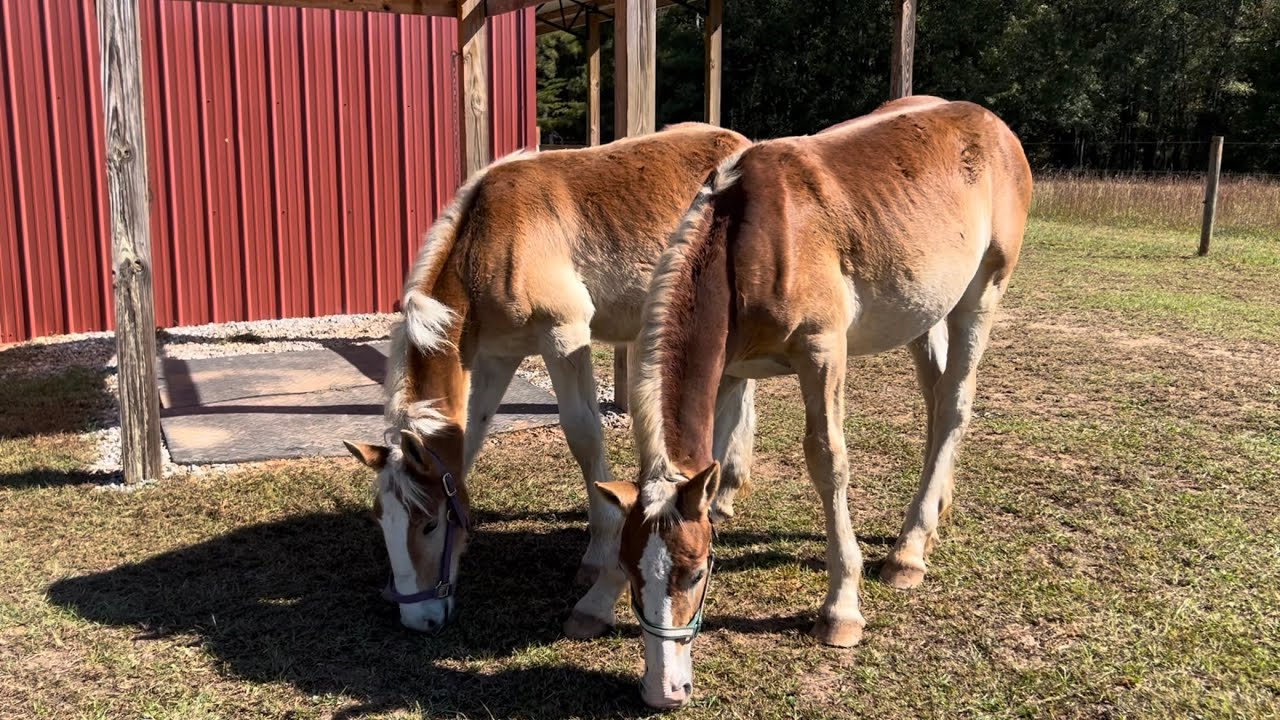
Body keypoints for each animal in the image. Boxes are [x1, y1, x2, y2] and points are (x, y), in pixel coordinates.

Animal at [342, 123, 753, 634]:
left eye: (431, 523)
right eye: (381, 521)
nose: (418, 619)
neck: (488, 240)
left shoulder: (565, 334)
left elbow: (584, 436)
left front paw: (598, 554)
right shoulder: (497, 356)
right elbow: (471, 436)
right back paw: (726, 488)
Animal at [585, 97, 1033, 708]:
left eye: (695, 573)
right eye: (634, 571)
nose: (664, 690)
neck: (749, 240)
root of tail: (991, 125)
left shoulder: (823, 352)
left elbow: (828, 462)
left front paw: (841, 610)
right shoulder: (729, 370)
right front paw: (594, 601)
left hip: (981, 294)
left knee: (956, 404)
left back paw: (908, 551)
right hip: (924, 312)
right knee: (937, 402)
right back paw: (933, 510)